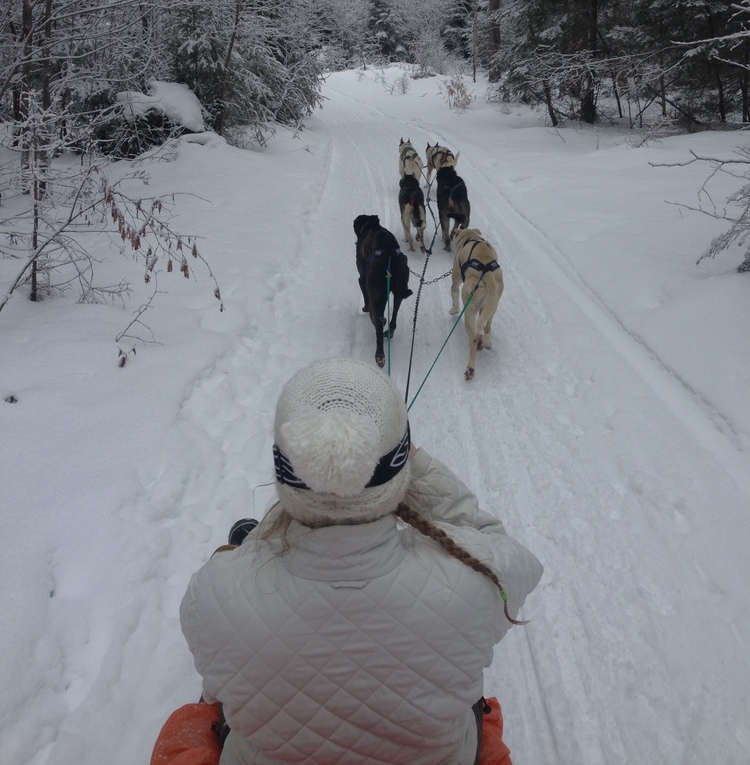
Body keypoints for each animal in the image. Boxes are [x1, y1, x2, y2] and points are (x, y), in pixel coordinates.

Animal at [354, 213, 414, 368]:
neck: (373, 226)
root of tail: (389, 257)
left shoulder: (362, 280)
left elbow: (365, 297)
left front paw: (364, 308)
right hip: (399, 290)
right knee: (393, 317)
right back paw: (390, 331)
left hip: (375, 295)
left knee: (379, 325)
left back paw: (380, 355)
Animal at [452, 227, 506, 382]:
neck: (470, 236)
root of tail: (487, 274)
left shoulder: (455, 279)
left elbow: (454, 295)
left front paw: (453, 310)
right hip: (492, 305)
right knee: (486, 327)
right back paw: (486, 342)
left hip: (469, 309)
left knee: (474, 340)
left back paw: (470, 369)